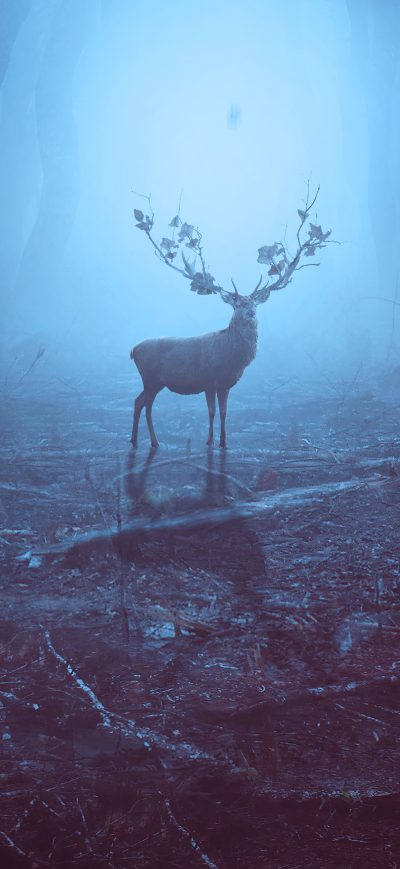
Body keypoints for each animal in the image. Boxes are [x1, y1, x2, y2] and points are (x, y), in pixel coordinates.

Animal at [130, 186, 333, 449]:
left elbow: (225, 412)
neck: (231, 358)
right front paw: (209, 441)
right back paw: (142, 441)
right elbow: (212, 412)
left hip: (156, 381)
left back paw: (148, 441)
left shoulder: (225, 383)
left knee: (143, 403)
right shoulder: (209, 379)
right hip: (151, 378)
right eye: (237, 303)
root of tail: (133, 350)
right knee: (141, 403)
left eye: (255, 302)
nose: (250, 312)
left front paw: (224, 442)